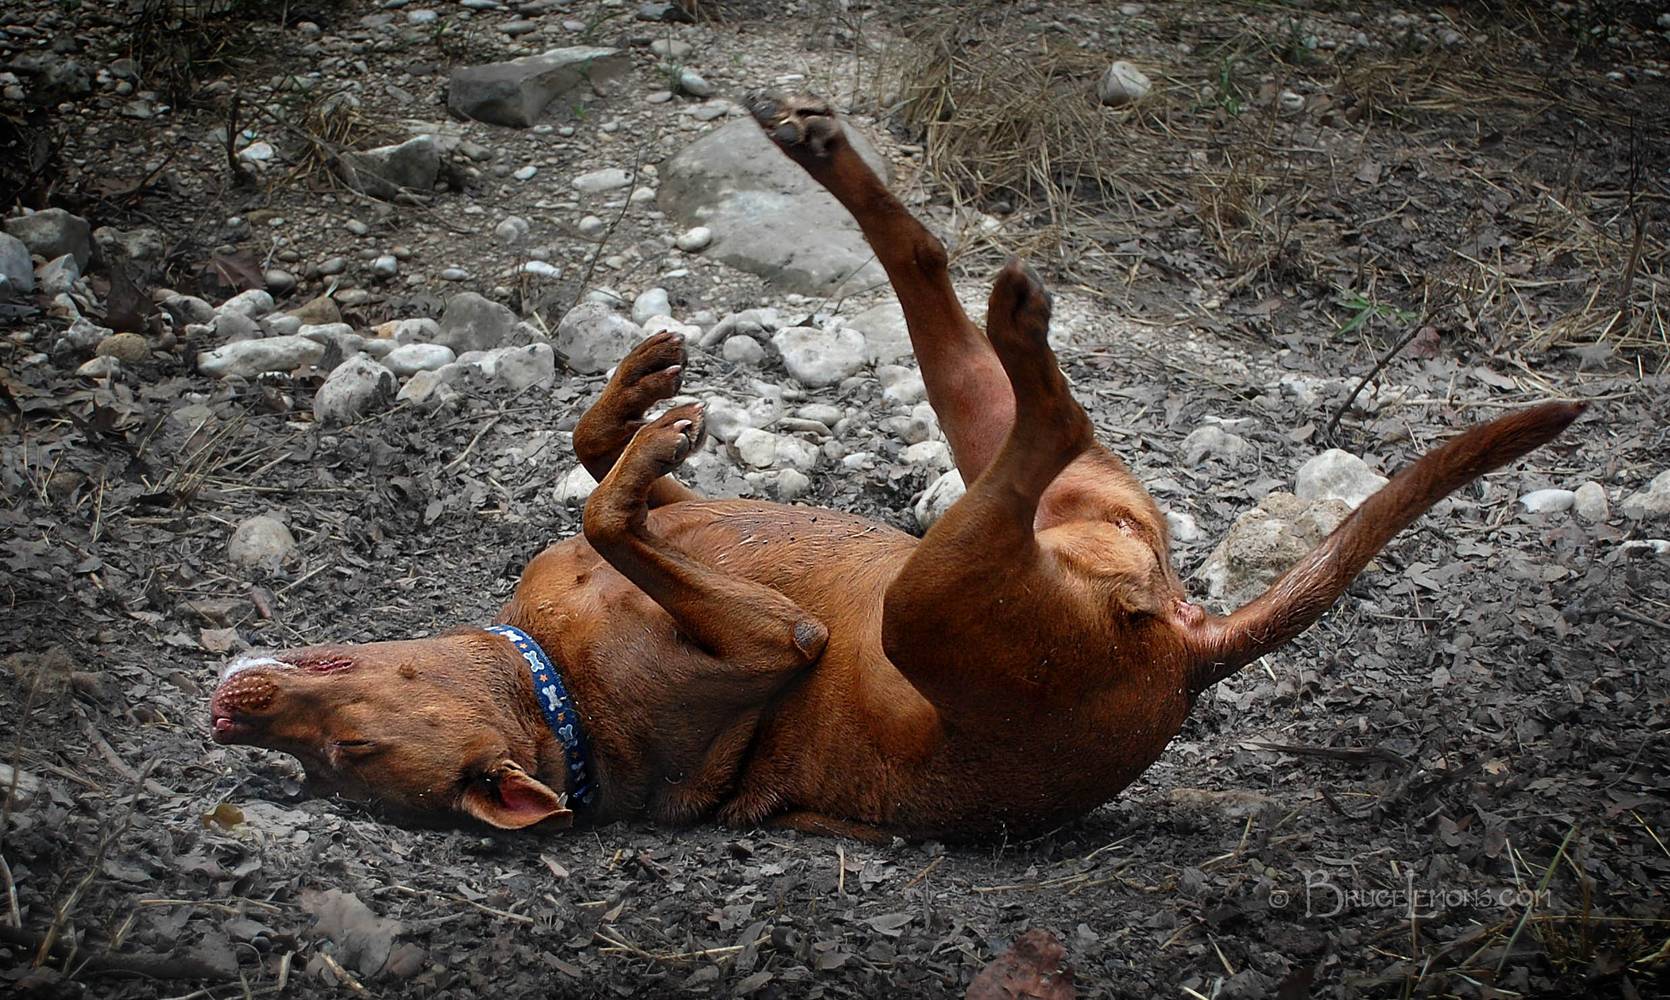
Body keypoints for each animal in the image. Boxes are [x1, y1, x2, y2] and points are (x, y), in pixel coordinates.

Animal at [209, 94, 1582, 841]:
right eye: (345, 763)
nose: (234, 714)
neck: (554, 695)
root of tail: (1184, 644)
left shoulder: (691, 530)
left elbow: (600, 471)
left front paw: (640, 397)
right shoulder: (775, 640)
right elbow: (608, 509)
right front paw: (644, 428)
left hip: (1036, 487)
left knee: (932, 277)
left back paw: (821, 156)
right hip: (945, 585)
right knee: (1033, 402)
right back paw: (1011, 305)